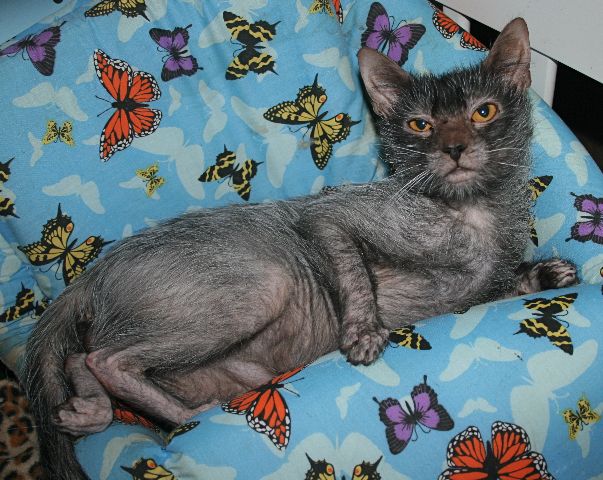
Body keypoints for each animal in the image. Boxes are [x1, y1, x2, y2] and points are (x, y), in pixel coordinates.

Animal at [23, 16, 580, 478]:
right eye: (420, 124)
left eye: (483, 112)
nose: (455, 148)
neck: (474, 214)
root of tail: (90, 276)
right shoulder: (332, 216)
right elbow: (353, 269)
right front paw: (364, 332)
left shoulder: (483, 286)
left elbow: (509, 285)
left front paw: (550, 274)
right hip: (260, 288)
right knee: (107, 360)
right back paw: (183, 419)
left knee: (79, 360)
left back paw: (87, 411)